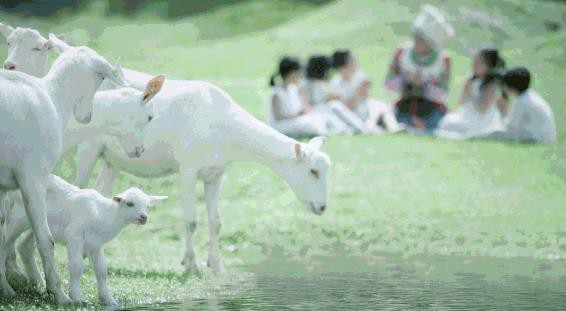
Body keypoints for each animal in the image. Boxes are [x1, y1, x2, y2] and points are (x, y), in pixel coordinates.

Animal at [0, 33, 127, 302]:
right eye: (101, 77)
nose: (86, 116)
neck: (53, 96)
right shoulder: (32, 177)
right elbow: (45, 238)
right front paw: (58, 294)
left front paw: (5, 287)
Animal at [2, 176, 169, 308]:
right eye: (129, 203)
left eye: (148, 206)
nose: (143, 217)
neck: (104, 214)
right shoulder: (74, 235)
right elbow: (76, 267)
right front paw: (77, 297)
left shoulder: (96, 244)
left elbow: (102, 270)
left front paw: (108, 299)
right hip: (19, 217)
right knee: (6, 241)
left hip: (36, 223)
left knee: (25, 246)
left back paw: (39, 282)